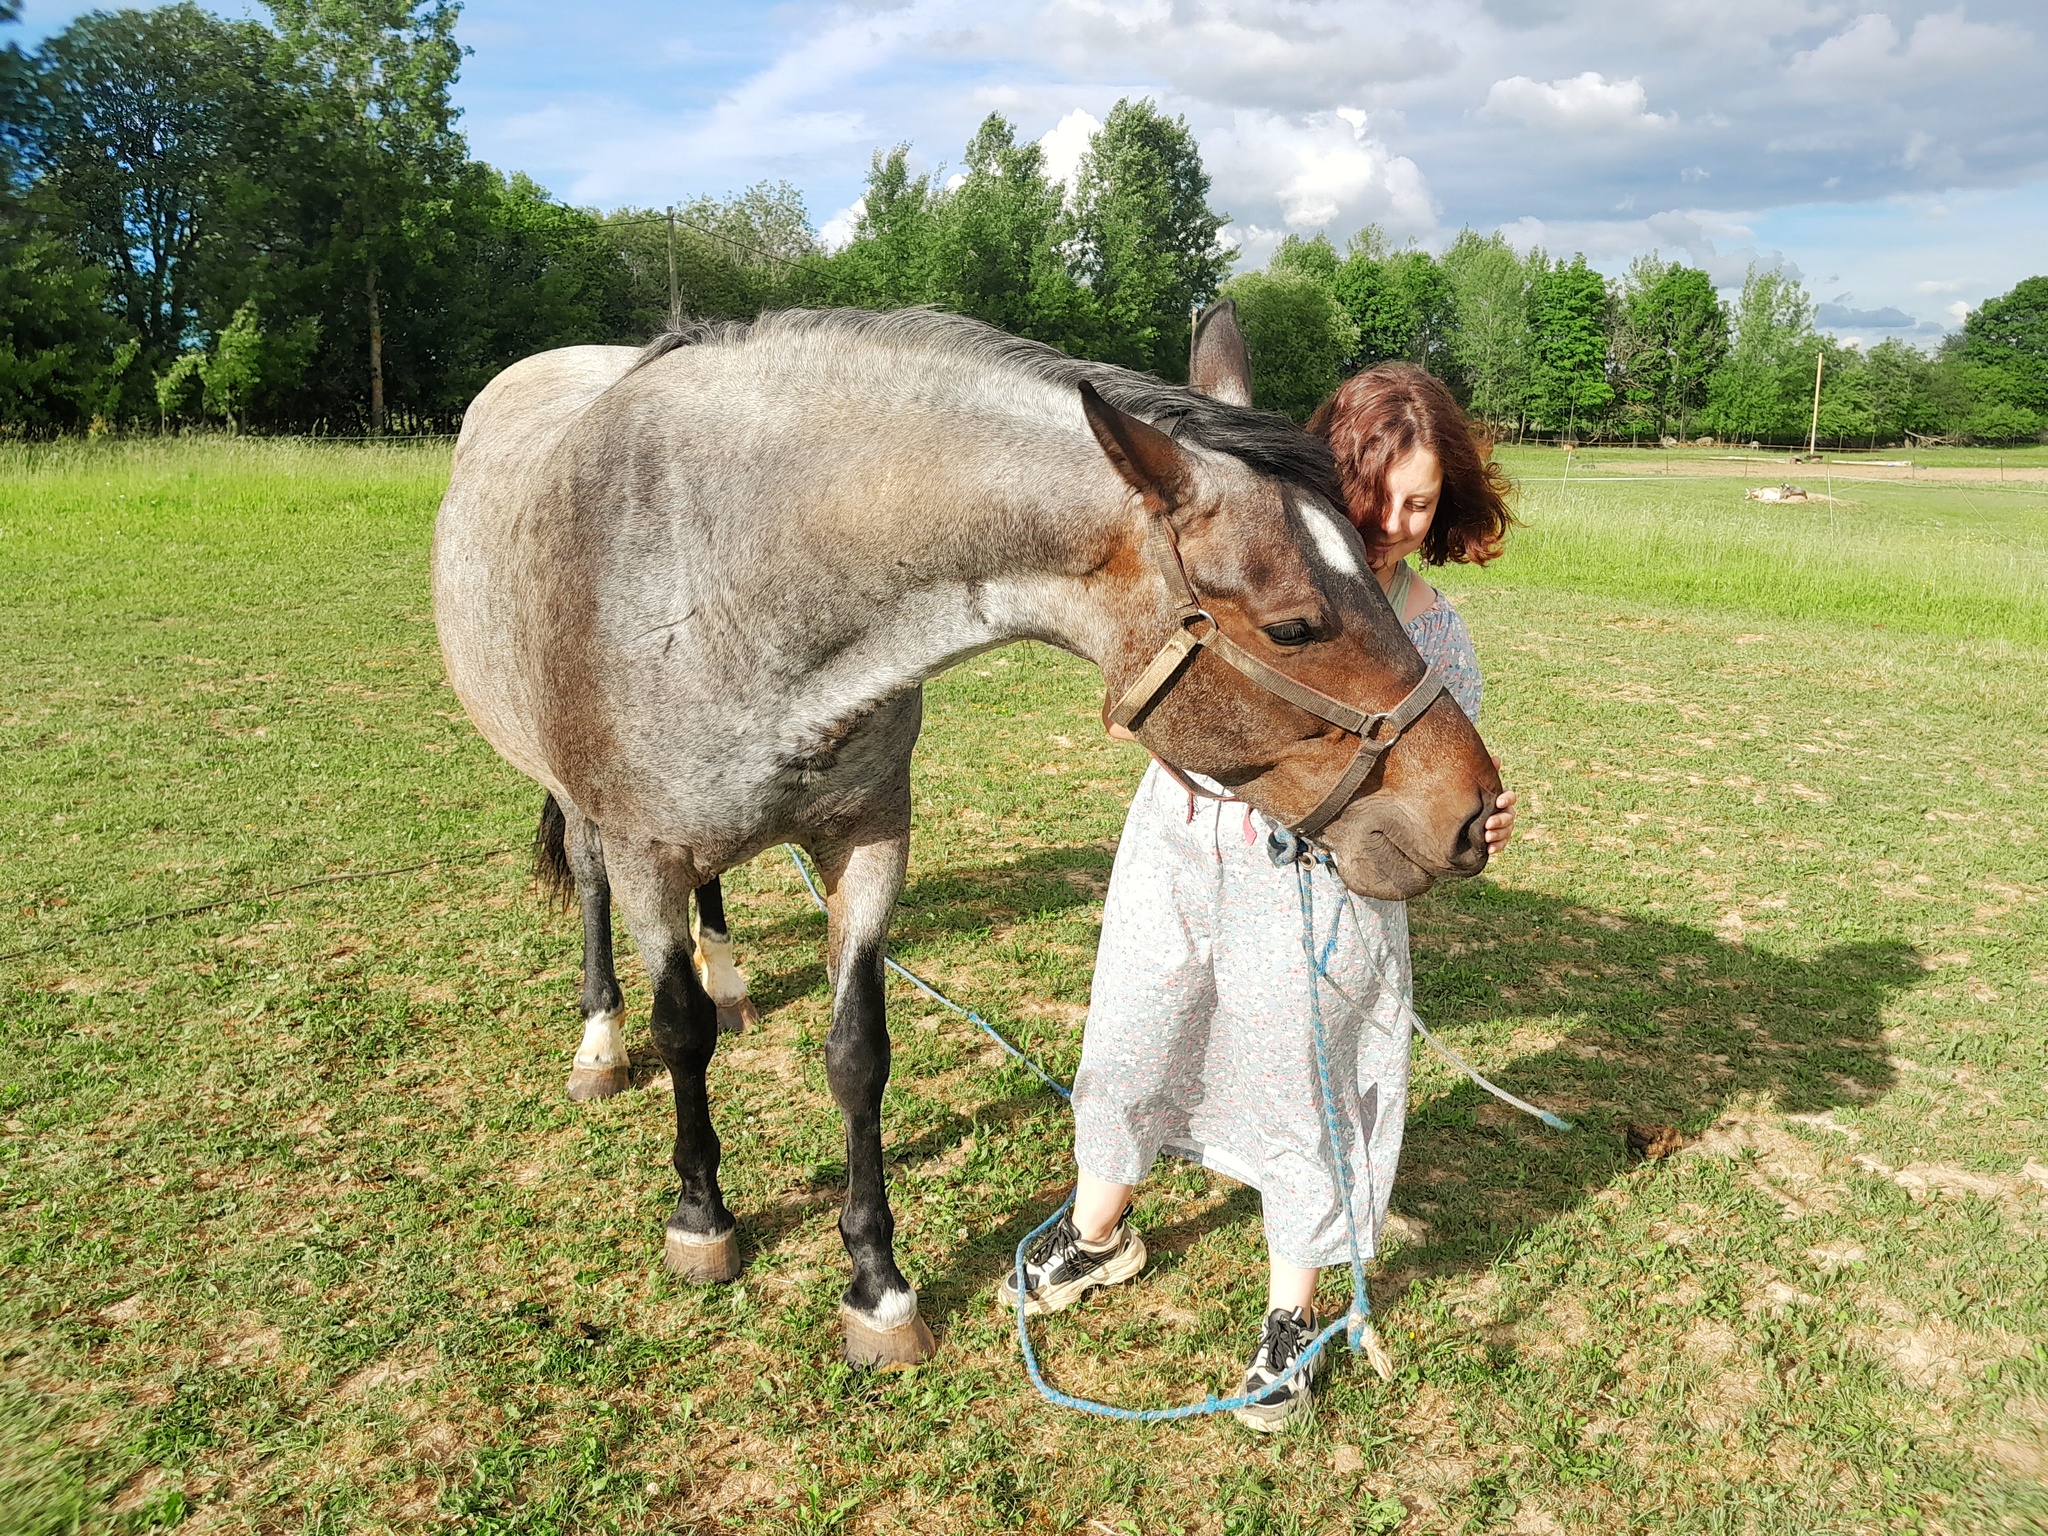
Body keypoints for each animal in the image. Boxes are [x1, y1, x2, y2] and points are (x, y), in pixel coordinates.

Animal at [432, 307, 1499, 1368]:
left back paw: (729, 979)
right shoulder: (647, 849)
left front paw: (876, 1285)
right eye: (1292, 628)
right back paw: (601, 1040)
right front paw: (701, 1216)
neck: (721, 576)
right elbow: (680, 1033)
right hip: (579, 803)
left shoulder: (869, 841)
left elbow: (857, 1056)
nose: (1474, 809)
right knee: (593, 889)